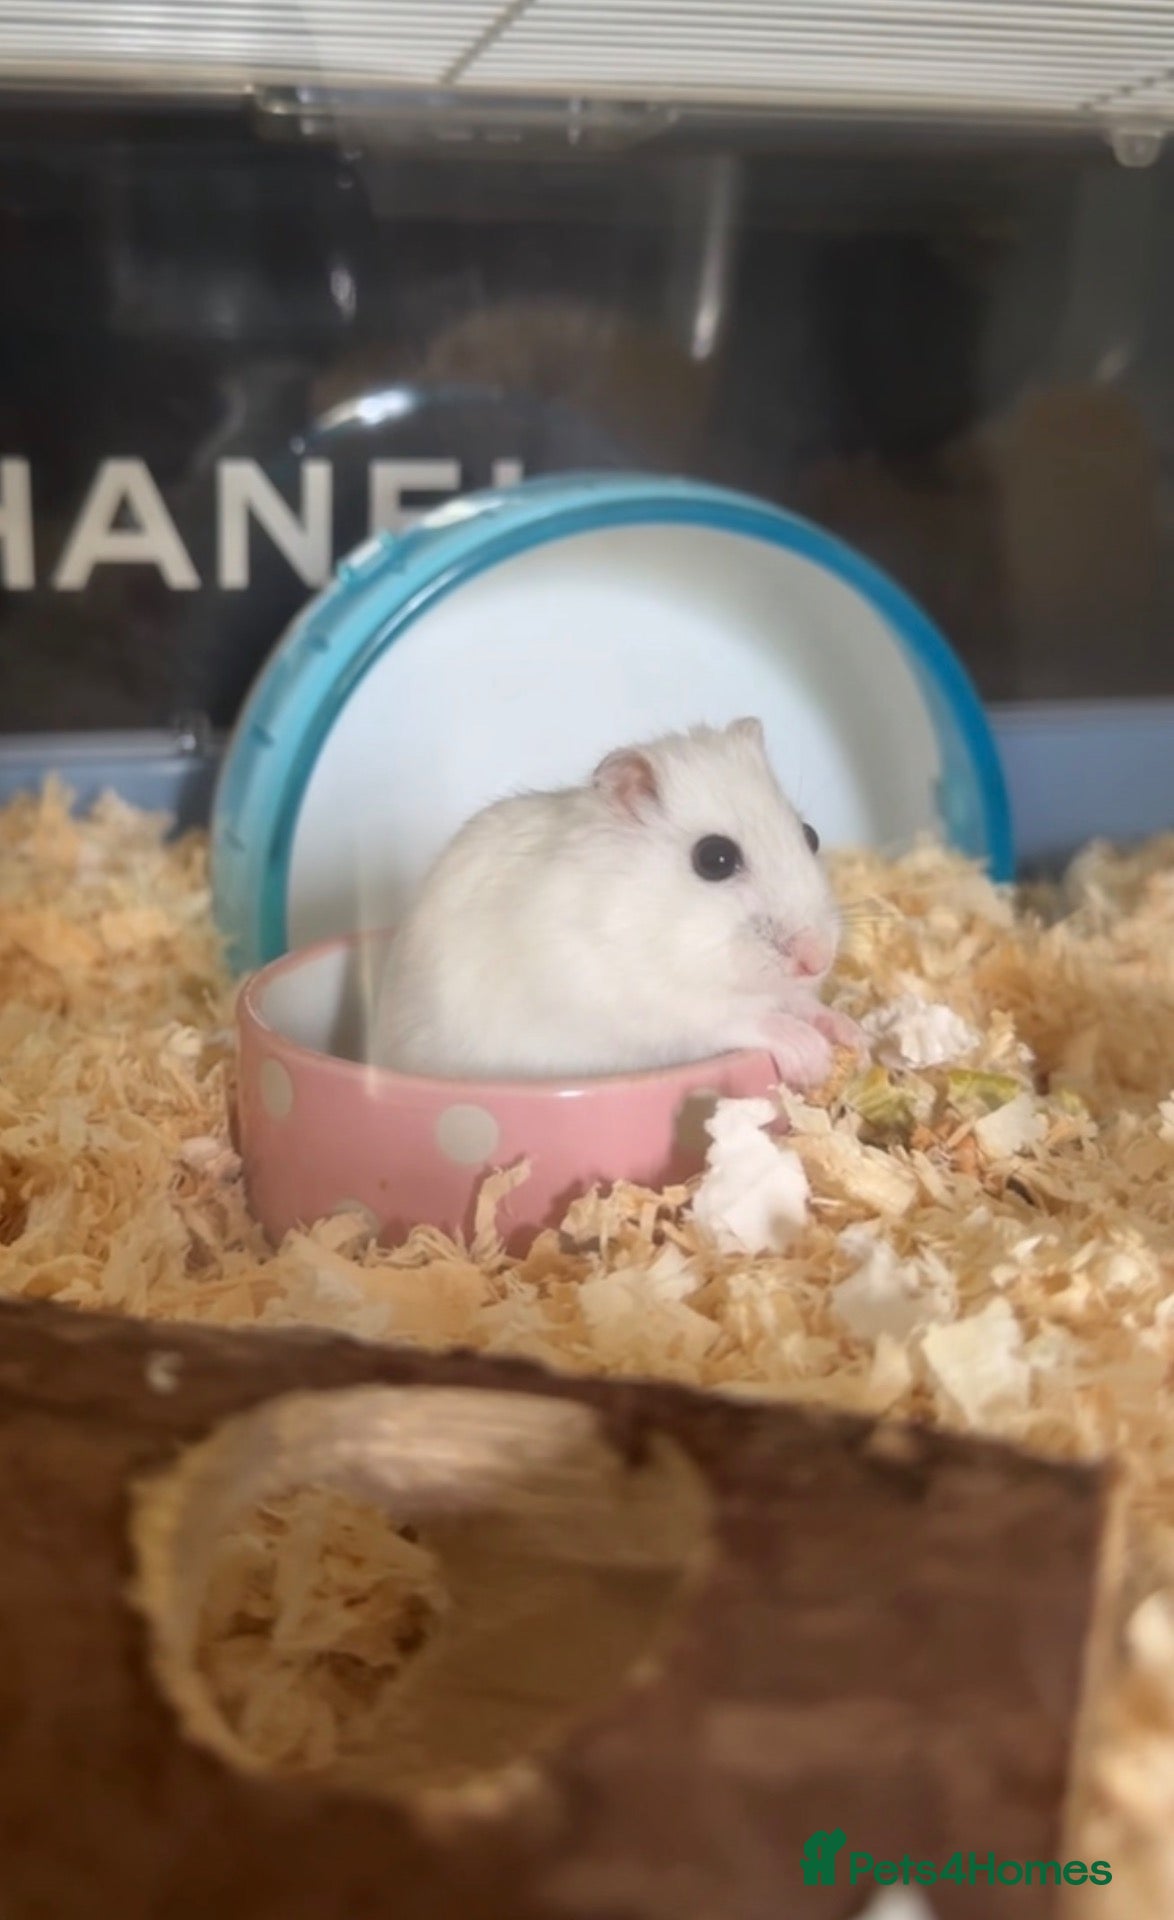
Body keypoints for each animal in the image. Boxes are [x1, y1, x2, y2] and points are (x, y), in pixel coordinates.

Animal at [370, 718, 864, 1086]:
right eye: (715, 858)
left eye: (810, 835)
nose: (818, 960)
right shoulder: (656, 1009)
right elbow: (741, 1020)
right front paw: (812, 1056)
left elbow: (799, 1003)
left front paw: (854, 1036)